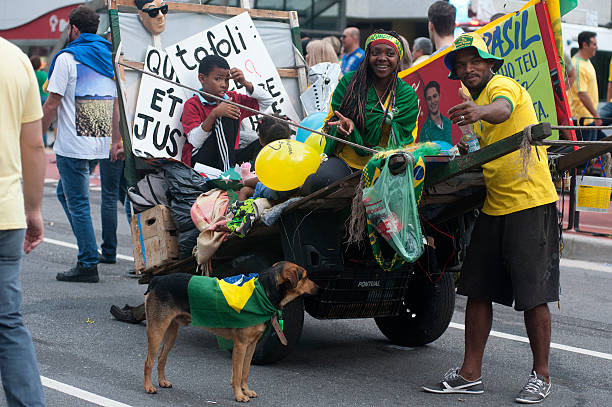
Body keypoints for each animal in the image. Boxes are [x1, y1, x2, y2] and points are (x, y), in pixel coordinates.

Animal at [142, 262, 318, 404]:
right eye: (305, 276)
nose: (319, 288)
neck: (261, 293)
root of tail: (158, 280)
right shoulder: (240, 345)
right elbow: (237, 374)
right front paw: (239, 396)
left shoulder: (251, 345)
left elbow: (245, 371)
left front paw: (246, 390)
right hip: (156, 332)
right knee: (148, 362)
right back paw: (148, 387)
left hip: (171, 333)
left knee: (161, 358)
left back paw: (162, 381)